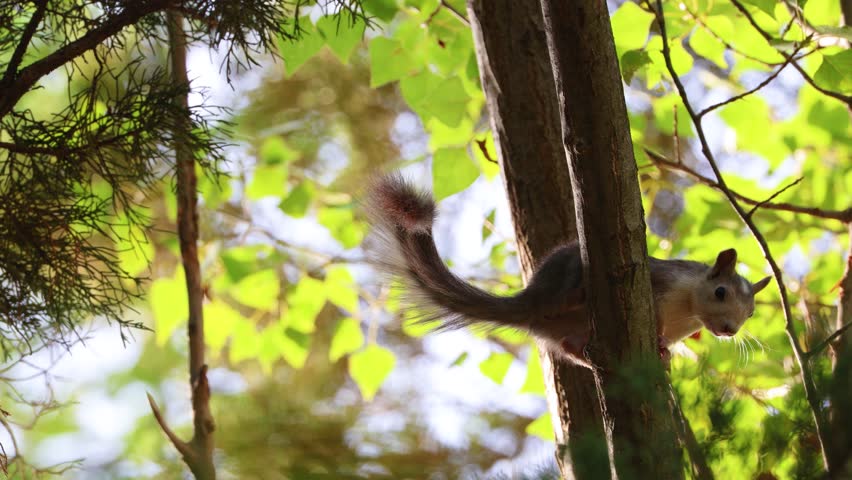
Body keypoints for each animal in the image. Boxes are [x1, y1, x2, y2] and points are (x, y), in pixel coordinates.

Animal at [364, 174, 772, 367]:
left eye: (751, 313)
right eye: (720, 292)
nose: (729, 329)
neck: (687, 311)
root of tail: (531, 302)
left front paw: (665, 355)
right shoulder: (661, 281)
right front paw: (657, 340)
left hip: (568, 332)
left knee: (568, 346)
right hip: (567, 278)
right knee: (568, 298)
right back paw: (579, 295)